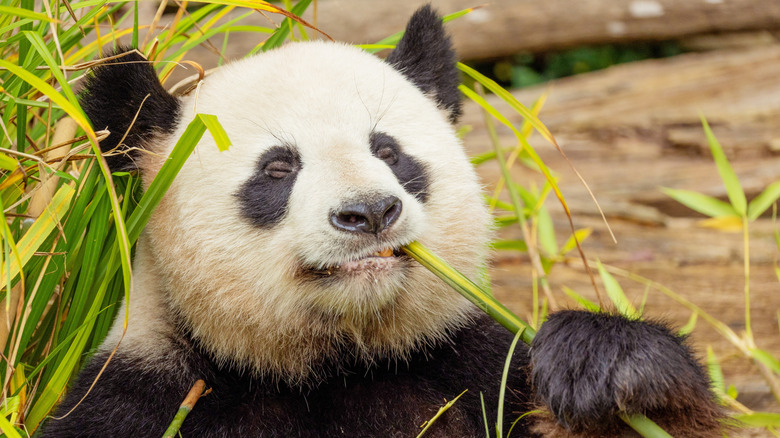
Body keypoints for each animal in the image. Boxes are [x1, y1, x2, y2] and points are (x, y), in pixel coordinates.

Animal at [40, 5, 722, 438]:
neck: (331, 367)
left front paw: (606, 367)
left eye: (389, 151)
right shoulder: (145, 398)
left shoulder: (475, 371)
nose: (369, 212)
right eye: (279, 168)